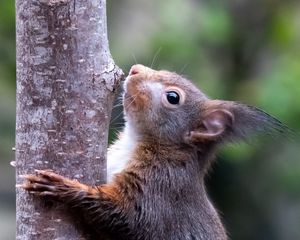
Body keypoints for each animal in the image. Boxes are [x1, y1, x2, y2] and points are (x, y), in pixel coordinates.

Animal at [19, 63, 288, 240]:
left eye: (173, 97)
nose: (135, 69)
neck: (135, 141)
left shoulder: (161, 185)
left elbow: (126, 218)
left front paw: (60, 187)